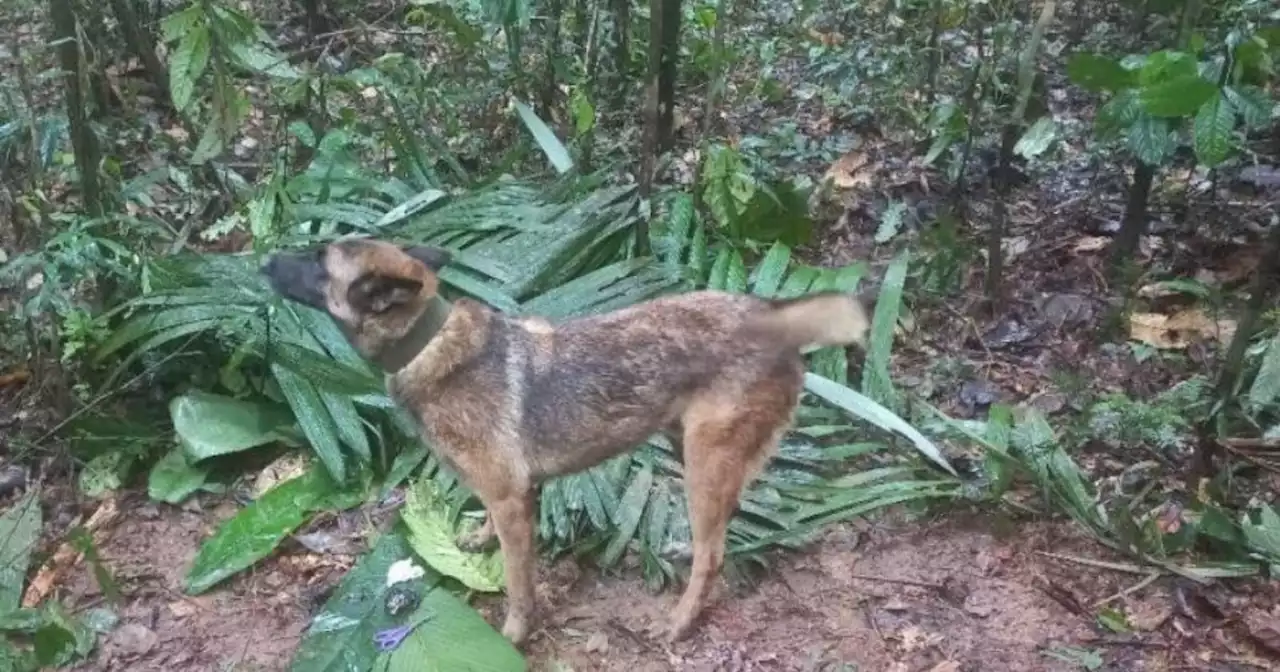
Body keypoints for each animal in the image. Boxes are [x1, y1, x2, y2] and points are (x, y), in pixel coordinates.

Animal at [259, 235, 870, 645]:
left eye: (318, 261)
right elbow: (492, 534)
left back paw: (681, 619)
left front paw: (513, 633)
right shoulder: (507, 496)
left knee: (714, 552)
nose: (262, 259)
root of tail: (771, 316)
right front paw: (478, 539)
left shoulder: (512, 499)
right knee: (722, 524)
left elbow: (517, 582)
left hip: (704, 459)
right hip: (689, 448)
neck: (428, 343)